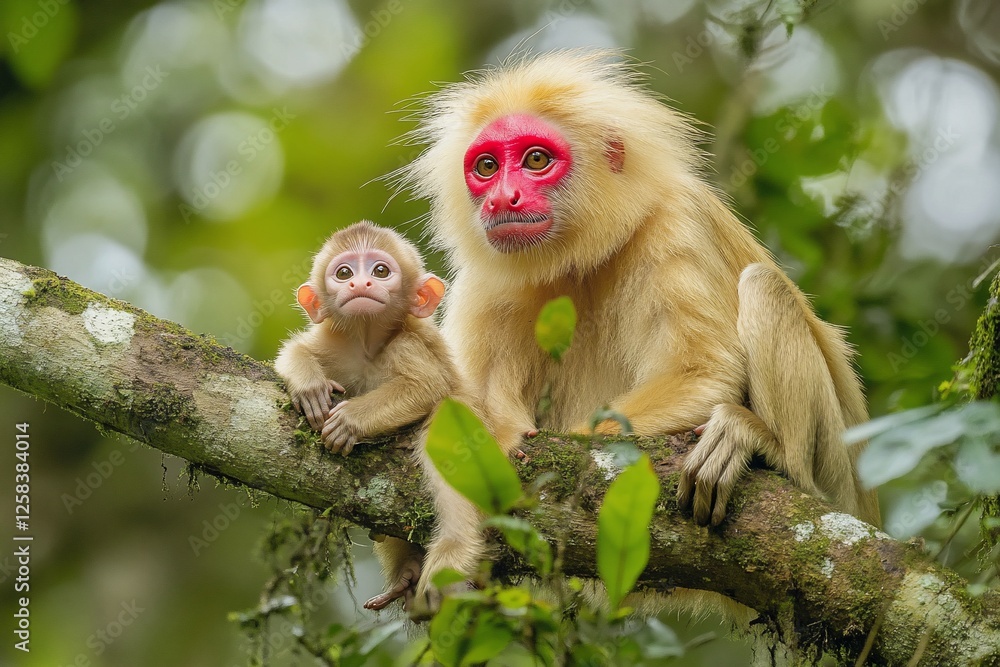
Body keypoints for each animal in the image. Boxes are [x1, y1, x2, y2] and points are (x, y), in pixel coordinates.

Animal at [274, 220, 471, 610]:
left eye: (380, 271)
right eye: (344, 273)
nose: (360, 284)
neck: (368, 345)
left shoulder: (409, 344)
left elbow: (428, 388)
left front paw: (350, 421)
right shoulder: (336, 341)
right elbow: (296, 349)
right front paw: (309, 386)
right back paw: (407, 571)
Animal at [389, 49, 880, 598]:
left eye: (536, 160)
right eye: (488, 167)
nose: (502, 199)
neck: (580, 259)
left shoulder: (676, 222)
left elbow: (703, 375)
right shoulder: (483, 283)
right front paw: (437, 551)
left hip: (836, 481)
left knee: (763, 287)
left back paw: (765, 448)